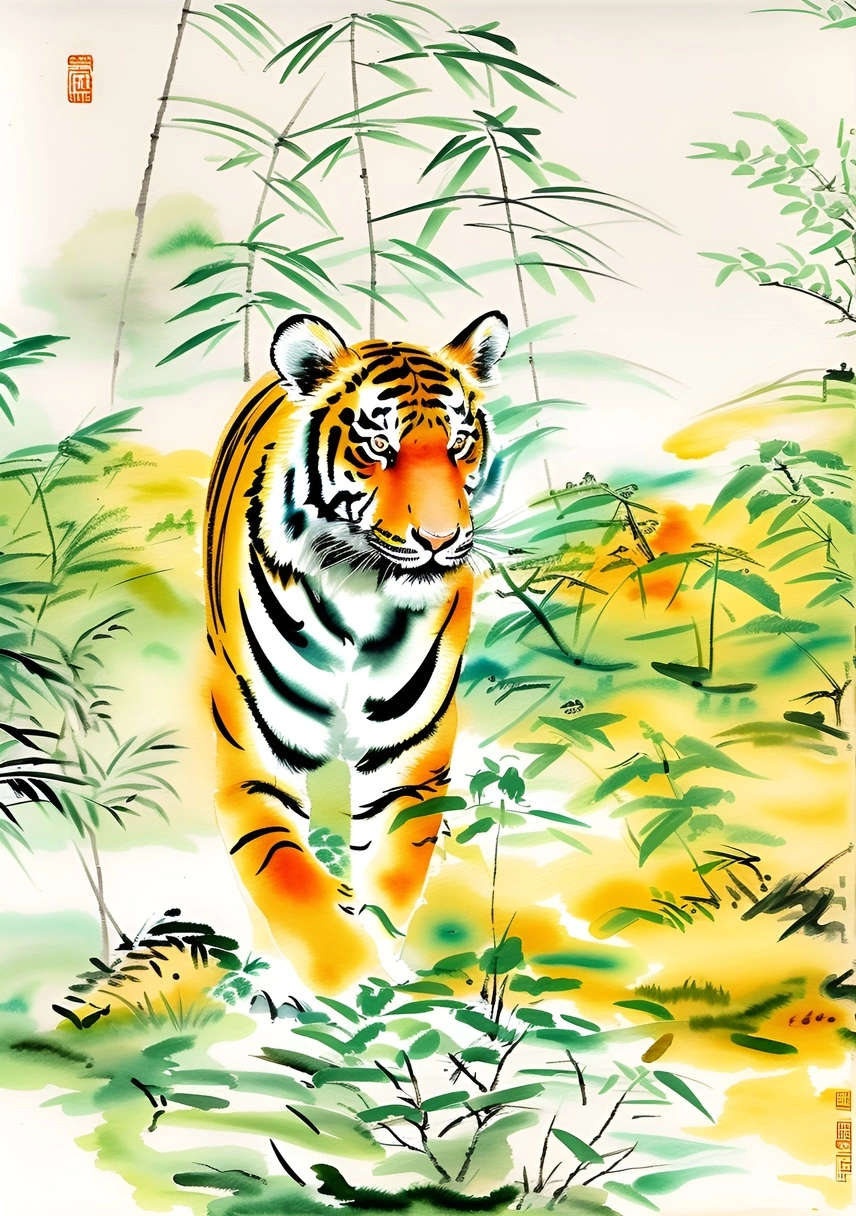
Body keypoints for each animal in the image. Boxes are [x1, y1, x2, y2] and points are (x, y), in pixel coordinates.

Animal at [203, 310, 510, 994]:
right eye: (378, 448)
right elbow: (292, 888)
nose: (441, 540)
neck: (359, 591)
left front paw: (383, 991)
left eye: (459, 444)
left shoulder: (407, 761)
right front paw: (346, 992)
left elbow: (390, 879)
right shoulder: (254, 766)